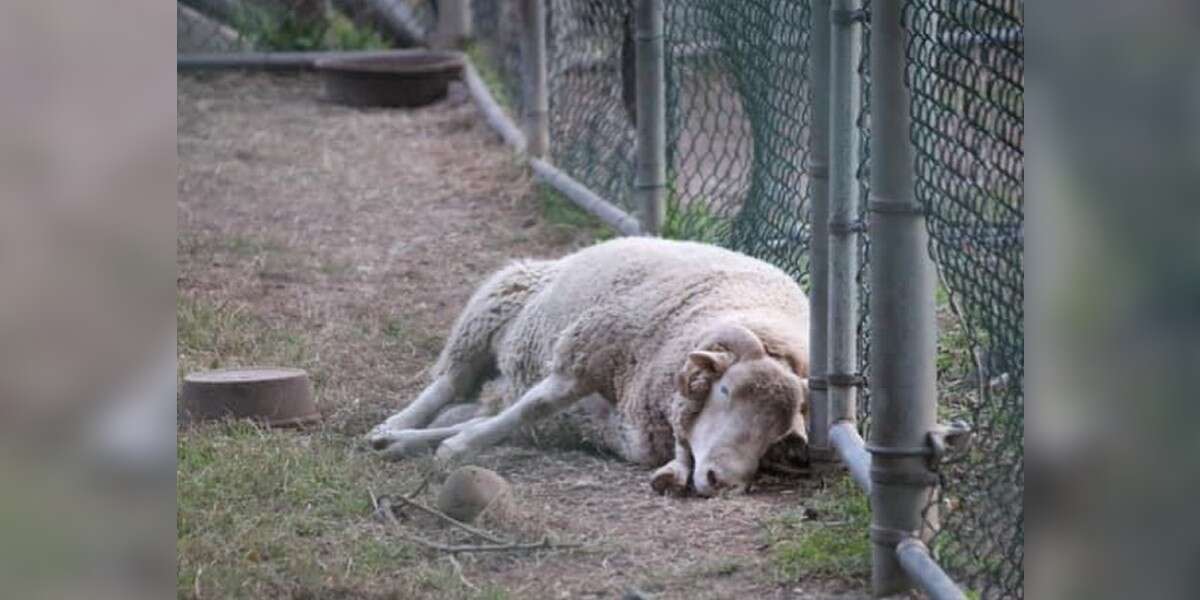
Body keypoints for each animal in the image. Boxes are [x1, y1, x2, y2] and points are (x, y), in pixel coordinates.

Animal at [369, 235, 811, 496]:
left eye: (779, 432)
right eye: (725, 390)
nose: (725, 482)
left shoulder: (604, 422)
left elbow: (509, 421)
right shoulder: (579, 359)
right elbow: (529, 410)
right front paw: (450, 448)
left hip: (506, 380)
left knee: (471, 404)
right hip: (489, 311)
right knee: (447, 383)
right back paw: (393, 424)